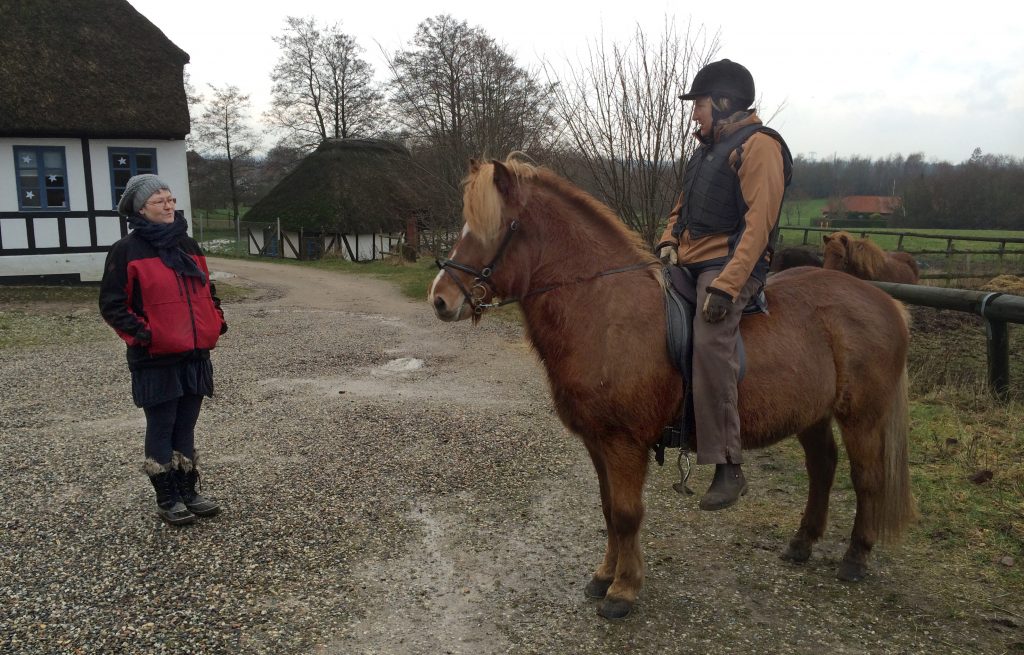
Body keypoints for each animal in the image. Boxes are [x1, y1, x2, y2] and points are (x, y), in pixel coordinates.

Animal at [428, 157, 917, 618]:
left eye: (496, 228)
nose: (440, 299)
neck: (605, 309)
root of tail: (885, 300)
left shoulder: (623, 443)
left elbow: (626, 514)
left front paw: (623, 590)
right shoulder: (597, 441)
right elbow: (608, 510)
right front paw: (605, 576)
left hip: (862, 416)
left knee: (866, 478)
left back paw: (855, 557)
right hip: (811, 414)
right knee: (822, 467)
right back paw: (802, 542)